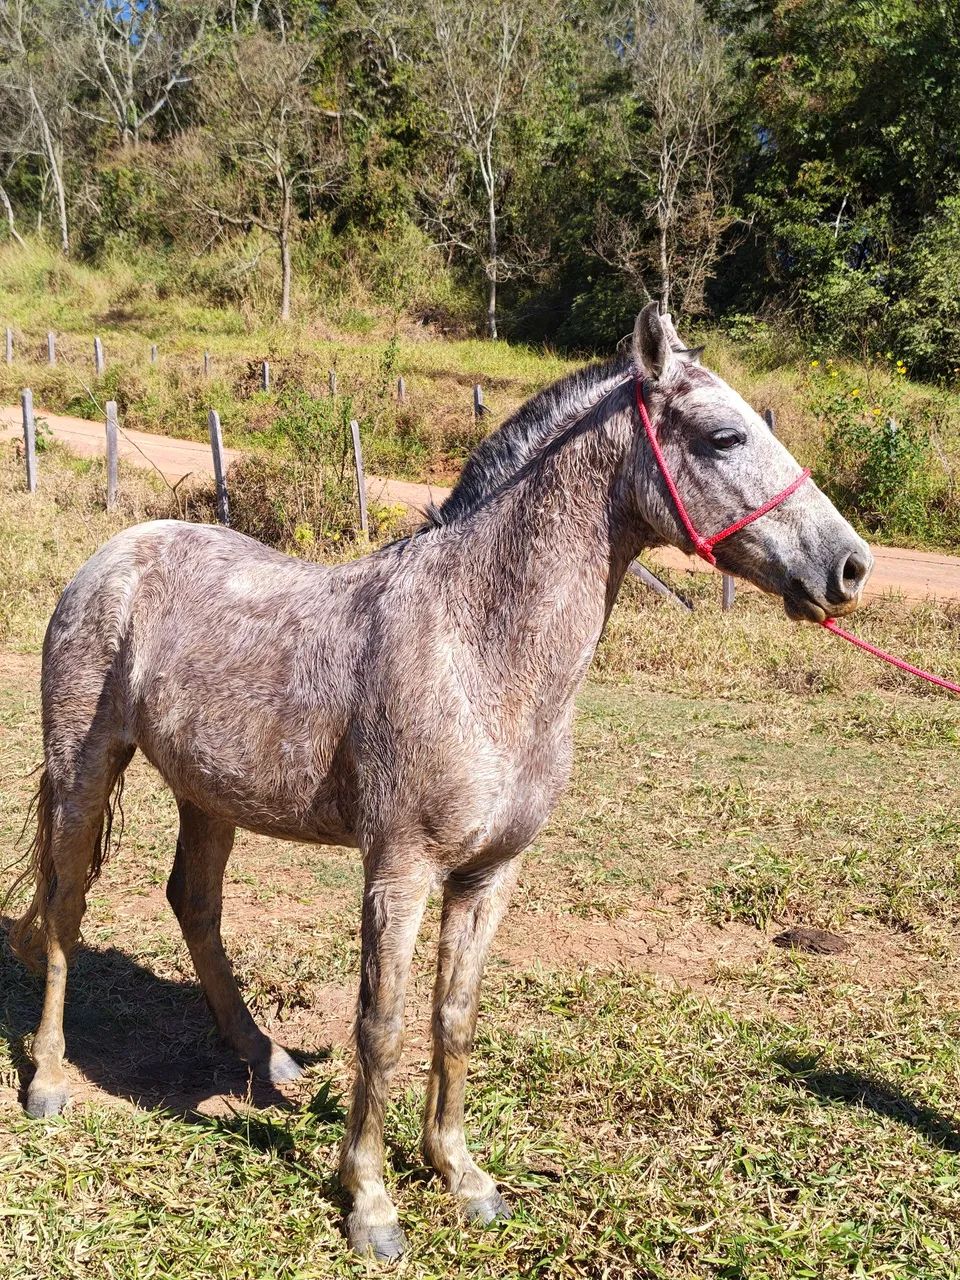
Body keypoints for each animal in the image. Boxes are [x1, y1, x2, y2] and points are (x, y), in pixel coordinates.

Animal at [7, 304, 872, 1259]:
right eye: (724, 436)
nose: (849, 566)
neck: (477, 648)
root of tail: (114, 554)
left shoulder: (489, 875)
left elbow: (453, 1018)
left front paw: (460, 1175)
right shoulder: (400, 870)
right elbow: (379, 1027)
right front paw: (371, 1203)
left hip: (210, 795)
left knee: (194, 906)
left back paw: (267, 1060)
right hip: (84, 769)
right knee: (66, 907)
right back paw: (49, 1080)